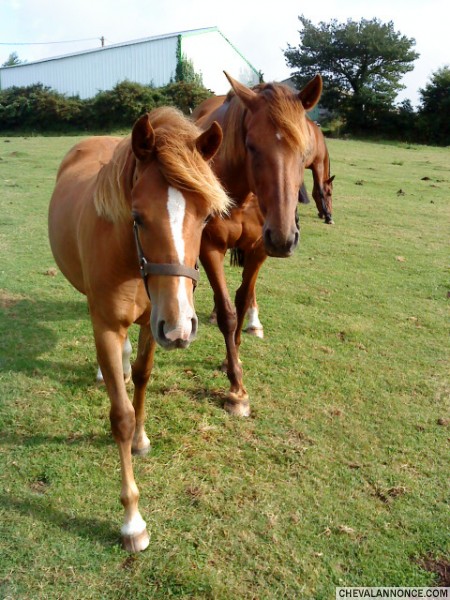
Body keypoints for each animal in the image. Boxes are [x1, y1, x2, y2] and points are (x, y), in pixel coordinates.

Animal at [48, 106, 230, 552]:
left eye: (206, 217)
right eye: (137, 216)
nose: (182, 327)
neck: (128, 259)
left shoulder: (154, 321)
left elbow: (144, 378)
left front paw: (142, 439)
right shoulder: (108, 327)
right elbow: (121, 415)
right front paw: (132, 521)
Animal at [193, 71, 324, 418]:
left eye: (304, 151)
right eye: (251, 146)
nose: (283, 237)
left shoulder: (259, 249)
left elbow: (240, 300)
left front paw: (232, 360)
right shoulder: (209, 248)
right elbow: (227, 312)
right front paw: (236, 390)